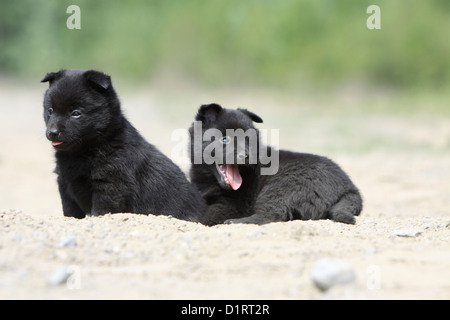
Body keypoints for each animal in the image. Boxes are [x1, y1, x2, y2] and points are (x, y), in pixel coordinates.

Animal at [41, 68, 207, 220]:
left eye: (76, 113)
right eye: (50, 110)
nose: (52, 132)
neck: (84, 151)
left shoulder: (111, 185)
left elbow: (101, 211)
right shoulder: (64, 182)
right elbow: (70, 211)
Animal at [189, 103, 362, 225]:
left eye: (248, 140)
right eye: (224, 139)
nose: (246, 156)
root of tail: (350, 188)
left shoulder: (232, 205)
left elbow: (206, 215)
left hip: (281, 186)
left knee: (273, 213)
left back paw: (234, 222)